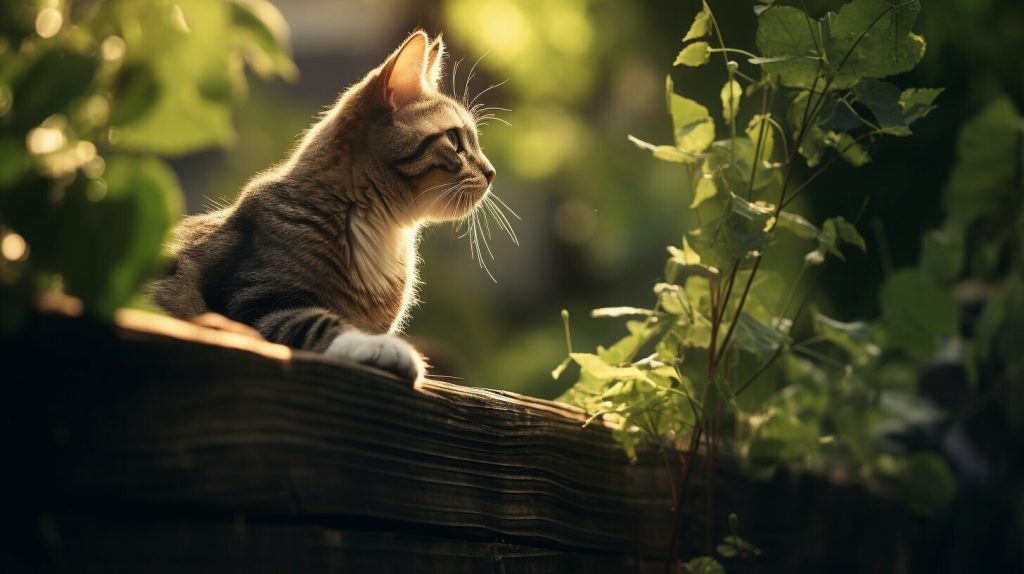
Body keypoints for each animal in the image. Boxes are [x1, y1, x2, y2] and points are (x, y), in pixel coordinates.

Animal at [149, 29, 495, 382]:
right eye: (454, 141)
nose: (491, 172)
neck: (380, 228)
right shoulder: (251, 298)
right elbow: (316, 323)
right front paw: (386, 348)